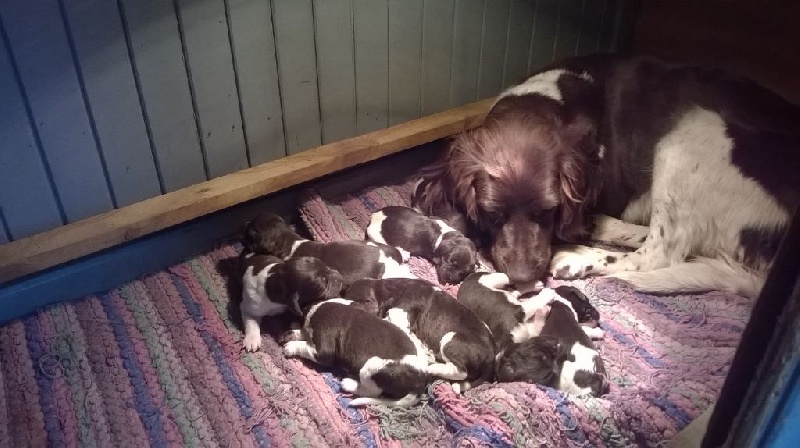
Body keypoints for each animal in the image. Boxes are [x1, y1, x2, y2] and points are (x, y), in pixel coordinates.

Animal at [282, 298, 430, 407]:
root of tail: (419, 383)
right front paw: (292, 333)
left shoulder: (323, 350)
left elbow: (307, 346)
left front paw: (290, 346)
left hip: (371, 367)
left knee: (373, 392)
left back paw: (349, 384)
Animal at [413, 54, 799, 298]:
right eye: (493, 214)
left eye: (548, 211)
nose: (522, 278)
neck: (553, 95)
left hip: (692, 133)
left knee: (660, 253)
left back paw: (579, 256)